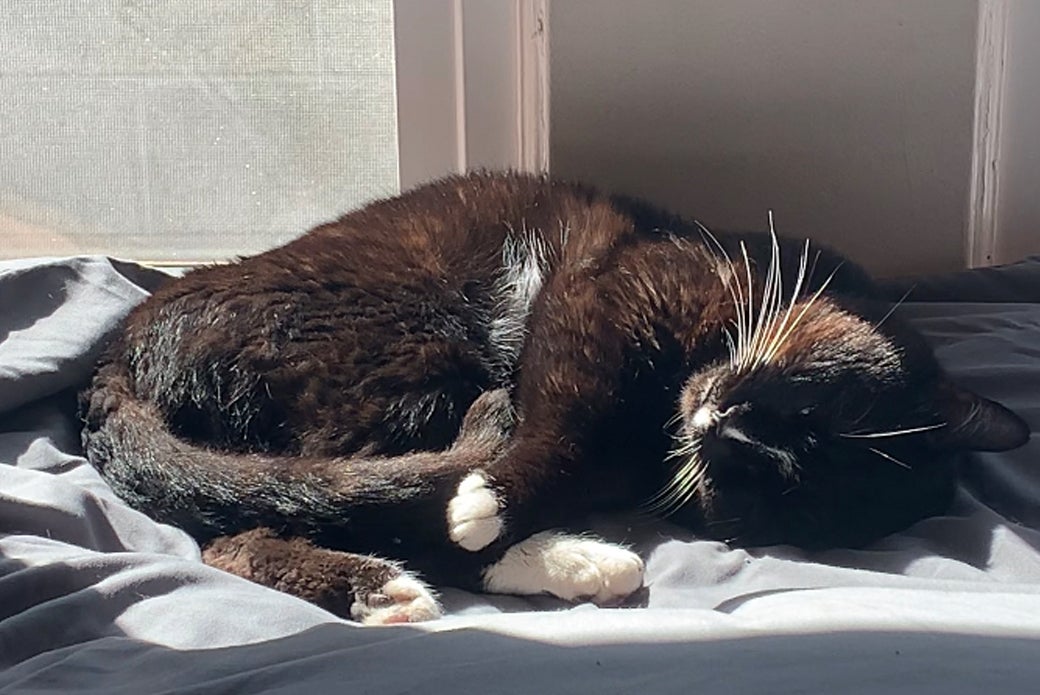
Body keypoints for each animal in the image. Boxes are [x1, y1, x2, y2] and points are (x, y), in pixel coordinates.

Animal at [80, 171, 1029, 624]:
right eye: (809, 406)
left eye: (770, 484)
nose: (724, 426)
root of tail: (119, 349)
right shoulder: (602, 299)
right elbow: (563, 419)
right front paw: (495, 500)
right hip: (404, 348)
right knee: (274, 517)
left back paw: (566, 564)